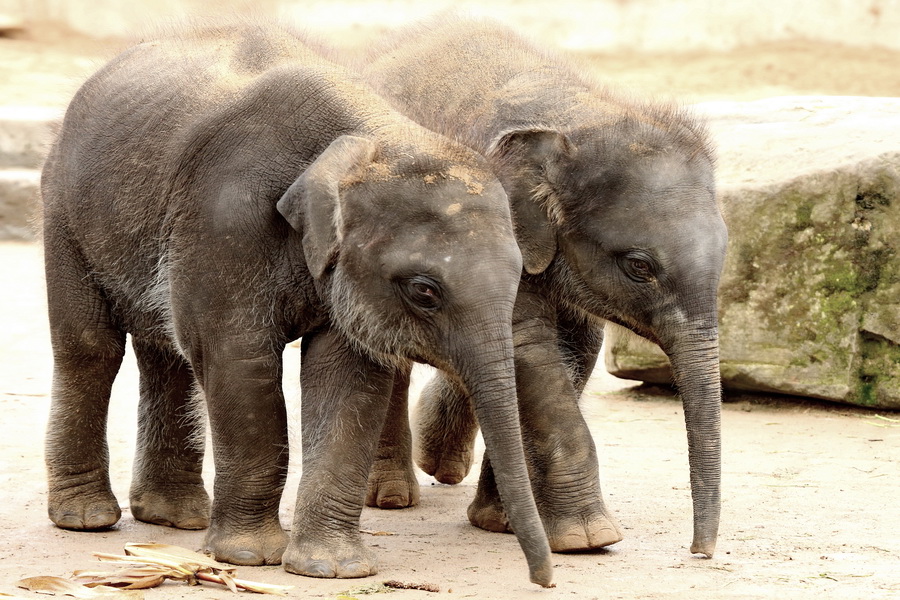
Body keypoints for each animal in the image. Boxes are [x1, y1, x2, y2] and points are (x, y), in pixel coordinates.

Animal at [45, 19, 552, 592]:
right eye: (425, 290)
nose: (543, 580)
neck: (372, 137)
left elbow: (348, 377)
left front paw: (331, 570)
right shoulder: (223, 220)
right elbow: (239, 363)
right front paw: (249, 558)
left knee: (166, 351)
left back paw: (173, 518)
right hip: (61, 207)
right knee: (91, 349)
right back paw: (87, 519)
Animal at [360, 16, 732, 556]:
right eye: (640, 266)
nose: (699, 550)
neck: (576, 114)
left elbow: (576, 349)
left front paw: (500, 521)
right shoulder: (495, 229)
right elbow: (527, 349)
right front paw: (588, 539)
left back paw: (442, 463)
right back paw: (392, 498)